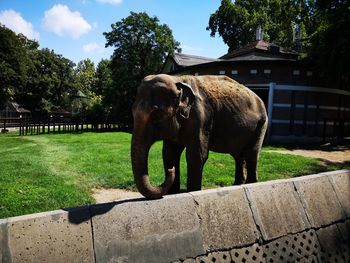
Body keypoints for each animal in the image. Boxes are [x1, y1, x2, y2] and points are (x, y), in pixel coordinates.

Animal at [131, 73, 268, 199]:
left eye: (156, 115)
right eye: (132, 112)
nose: (171, 171)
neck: (178, 80)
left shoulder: (201, 118)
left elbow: (197, 155)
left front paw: (193, 191)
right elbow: (169, 154)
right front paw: (173, 193)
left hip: (261, 126)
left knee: (252, 154)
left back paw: (251, 183)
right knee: (238, 156)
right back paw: (237, 185)